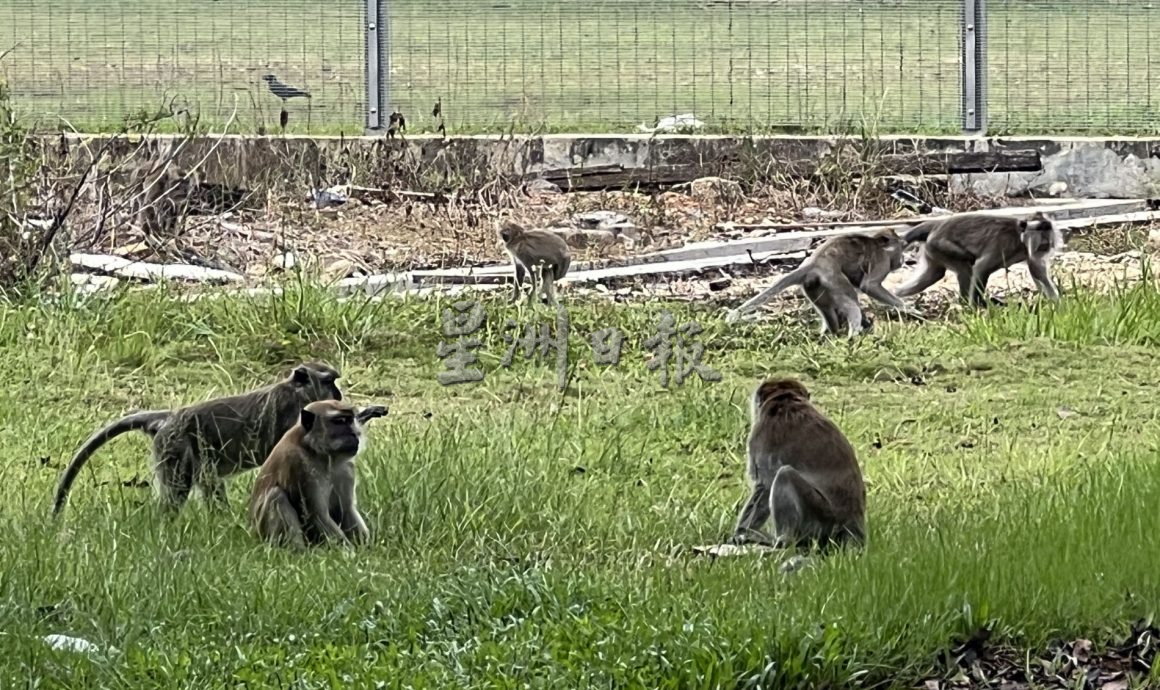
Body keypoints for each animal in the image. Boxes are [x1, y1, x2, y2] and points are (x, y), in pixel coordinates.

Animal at [53, 364, 343, 514]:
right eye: (329, 381)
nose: (339, 394)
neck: (297, 393)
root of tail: (170, 418)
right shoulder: (291, 413)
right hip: (175, 446)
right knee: (177, 492)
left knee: (208, 480)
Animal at [251, 398, 382, 549]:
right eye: (340, 421)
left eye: (350, 420)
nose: (355, 433)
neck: (318, 453)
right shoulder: (299, 465)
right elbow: (317, 515)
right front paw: (350, 552)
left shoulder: (346, 468)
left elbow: (346, 509)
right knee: (276, 495)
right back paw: (299, 551)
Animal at [723, 228, 923, 336]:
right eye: (901, 247)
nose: (903, 260)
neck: (879, 244)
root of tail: (812, 264)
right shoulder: (882, 261)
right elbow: (869, 286)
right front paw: (910, 309)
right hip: (834, 280)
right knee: (851, 303)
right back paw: (853, 335)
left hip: (813, 287)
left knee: (828, 310)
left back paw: (831, 333)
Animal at [728, 380, 867, 563]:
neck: (784, 399)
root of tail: (852, 522)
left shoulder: (761, 434)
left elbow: (764, 486)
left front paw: (741, 532)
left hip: (822, 518)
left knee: (784, 475)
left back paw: (782, 540)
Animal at [890, 211, 1062, 308]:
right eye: (1039, 230)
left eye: (1047, 228)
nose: (1046, 239)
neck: (1019, 238)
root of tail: (936, 224)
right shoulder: (1003, 244)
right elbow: (981, 268)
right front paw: (978, 305)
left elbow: (1037, 272)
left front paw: (1056, 304)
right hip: (939, 244)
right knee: (965, 266)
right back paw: (967, 304)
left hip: (932, 249)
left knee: (934, 275)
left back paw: (896, 295)